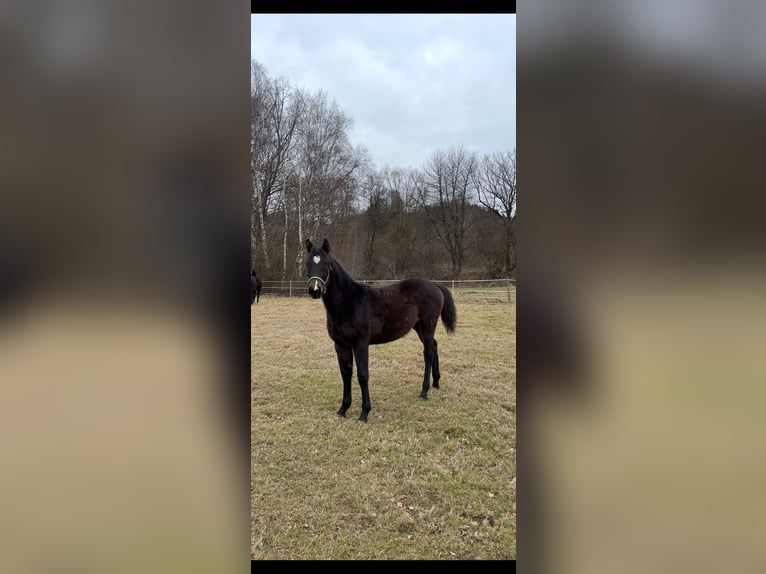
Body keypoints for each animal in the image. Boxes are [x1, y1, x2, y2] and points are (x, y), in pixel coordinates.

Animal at [304, 238, 456, 424]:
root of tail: (435, 285)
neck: (348, 302)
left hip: (428, 324)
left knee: (428, 352)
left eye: (327, 264)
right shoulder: (341, 345)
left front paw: (364, 413)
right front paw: (343, 409)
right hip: (419, 327)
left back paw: (424, 391)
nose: (315, 290)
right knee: (434, 346)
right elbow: (346, 374)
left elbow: (363, 375)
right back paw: (436, 383)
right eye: (307, 263)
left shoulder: (361, 344)